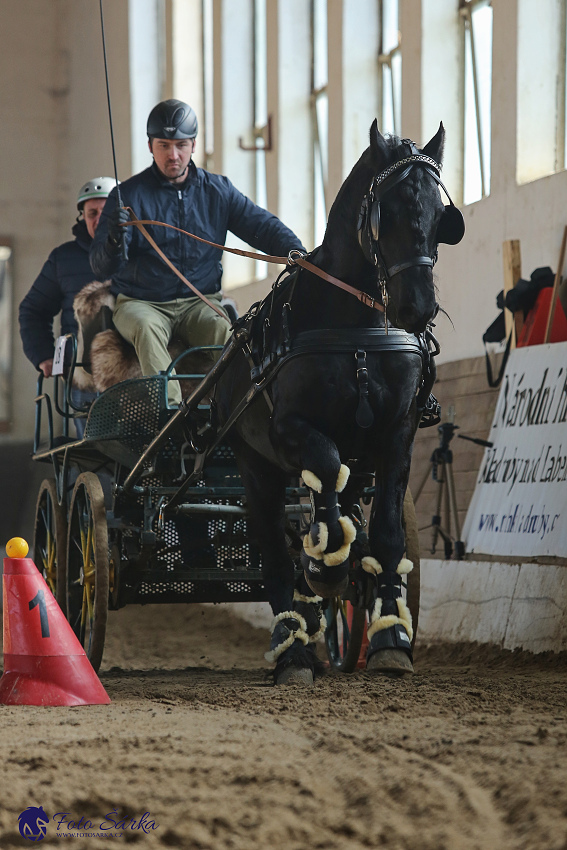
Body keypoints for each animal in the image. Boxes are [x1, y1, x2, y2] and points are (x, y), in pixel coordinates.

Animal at [215, 119, 464, 684]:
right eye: (386, 212)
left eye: (441, 216)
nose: (418, 306)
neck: (356, 331)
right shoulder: (290, 429)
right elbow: (325, 470)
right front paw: (326, 563)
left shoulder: (397, 433)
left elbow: (389, 534)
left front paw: (392, 636)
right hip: (255, 465)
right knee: (274, 551)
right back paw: (292, 647)